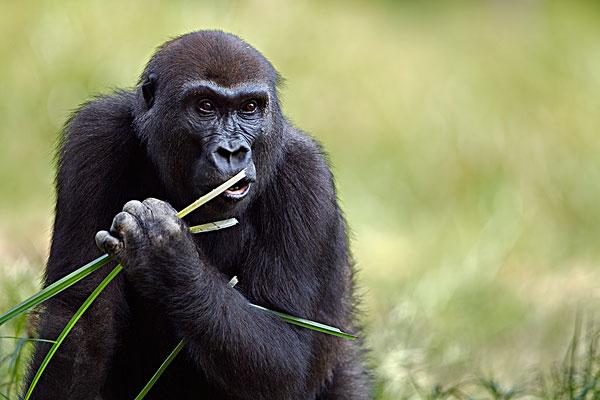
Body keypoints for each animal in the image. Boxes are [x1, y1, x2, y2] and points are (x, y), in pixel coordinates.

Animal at [25, 32, 370, 400]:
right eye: (205, 106)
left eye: (249, 108)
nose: (232, 152)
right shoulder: (93, 136)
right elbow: (79, 323)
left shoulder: (306, 174)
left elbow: (289, 354)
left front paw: (167, 256)